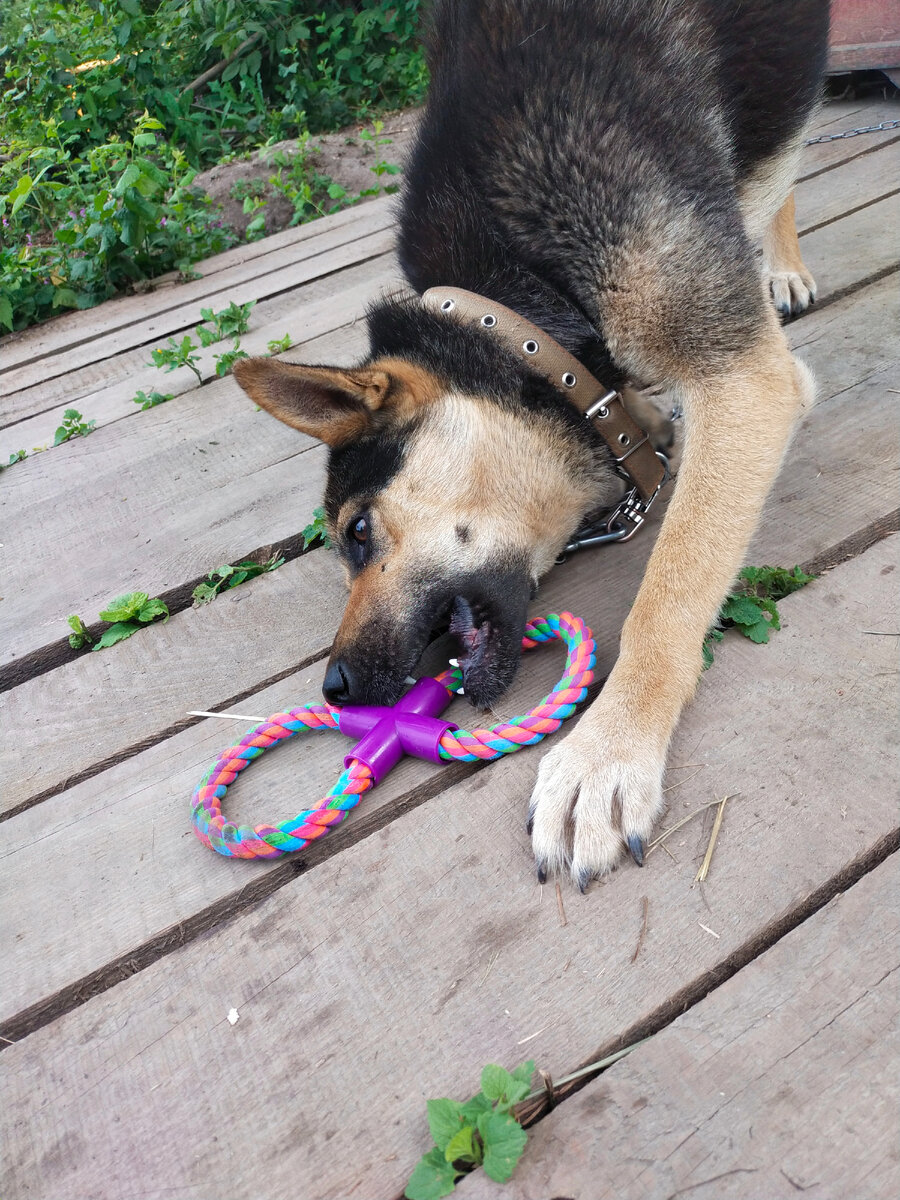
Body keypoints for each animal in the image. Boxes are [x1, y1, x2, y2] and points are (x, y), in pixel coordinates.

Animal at [234, 2, 830, 892]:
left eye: (357, 533)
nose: (335, 690)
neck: (526, 311)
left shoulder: (745, 380)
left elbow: (667, 595)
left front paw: (607, 753)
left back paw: (783, 265)